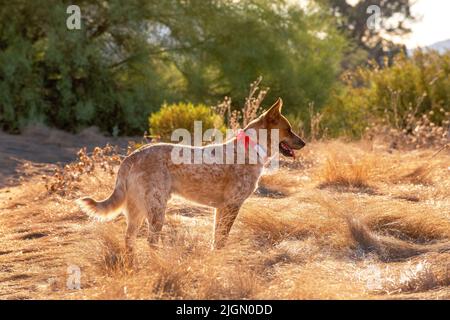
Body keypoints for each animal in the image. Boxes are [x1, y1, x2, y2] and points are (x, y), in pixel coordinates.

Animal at [77, 97, 306, 255]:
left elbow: (217, 239)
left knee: (129, 239)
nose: (304, 143)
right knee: (151, 241)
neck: (251, 147)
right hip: (157, 209)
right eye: (289, 129)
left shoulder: (220, 209)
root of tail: (132, 156)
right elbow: (222, 239)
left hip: (138, 210)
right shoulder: (232, 205)